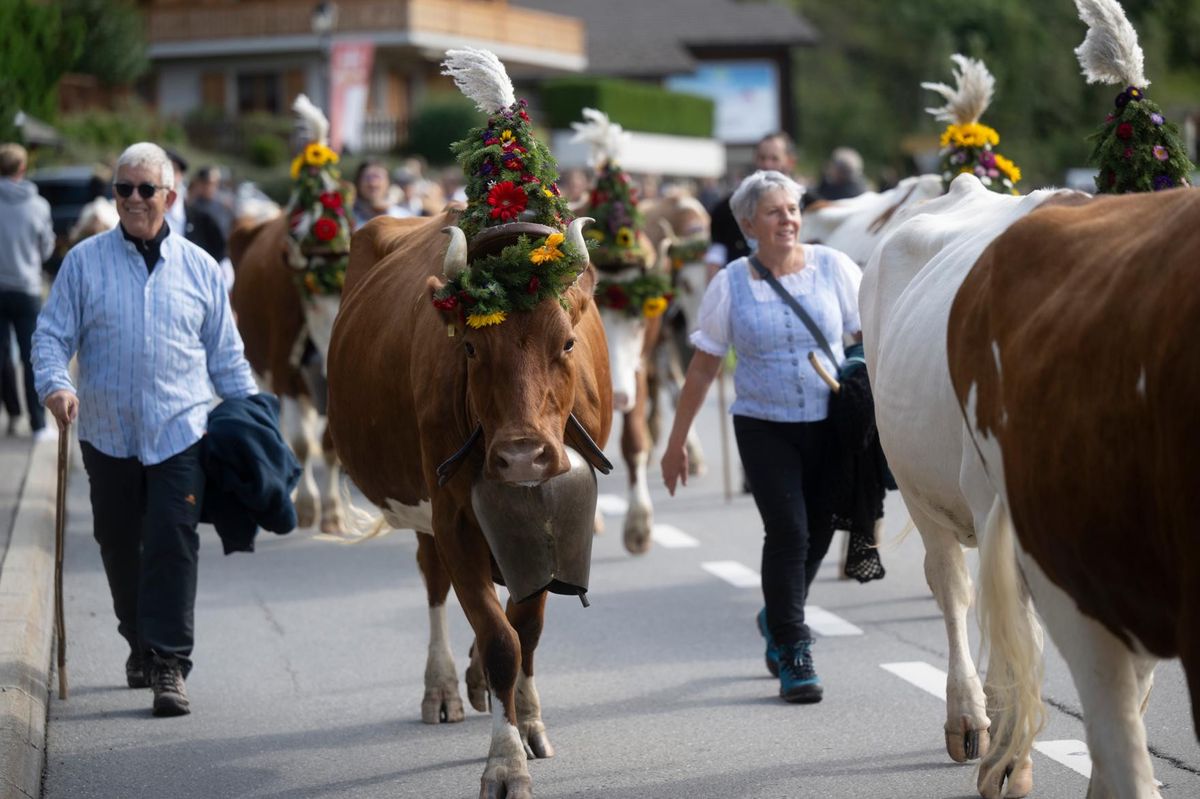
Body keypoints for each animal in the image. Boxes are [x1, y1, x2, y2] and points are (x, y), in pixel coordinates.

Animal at [228, 215, 345, 534]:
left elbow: (329, 443)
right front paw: (306, 507)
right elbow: (301, 444)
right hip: (259, 373)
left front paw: (332, 513)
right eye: (314, 306)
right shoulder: (284, 375)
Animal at [326, 209, 611, 799]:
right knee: (435, 582)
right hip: (425, 513)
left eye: (568, 343)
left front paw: (528, 721)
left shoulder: (552, 528)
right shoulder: (453, 519)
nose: (523, 457)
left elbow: (525, 630)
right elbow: (501, 639)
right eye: (473, 349)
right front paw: (505, 763)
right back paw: (441, 689)